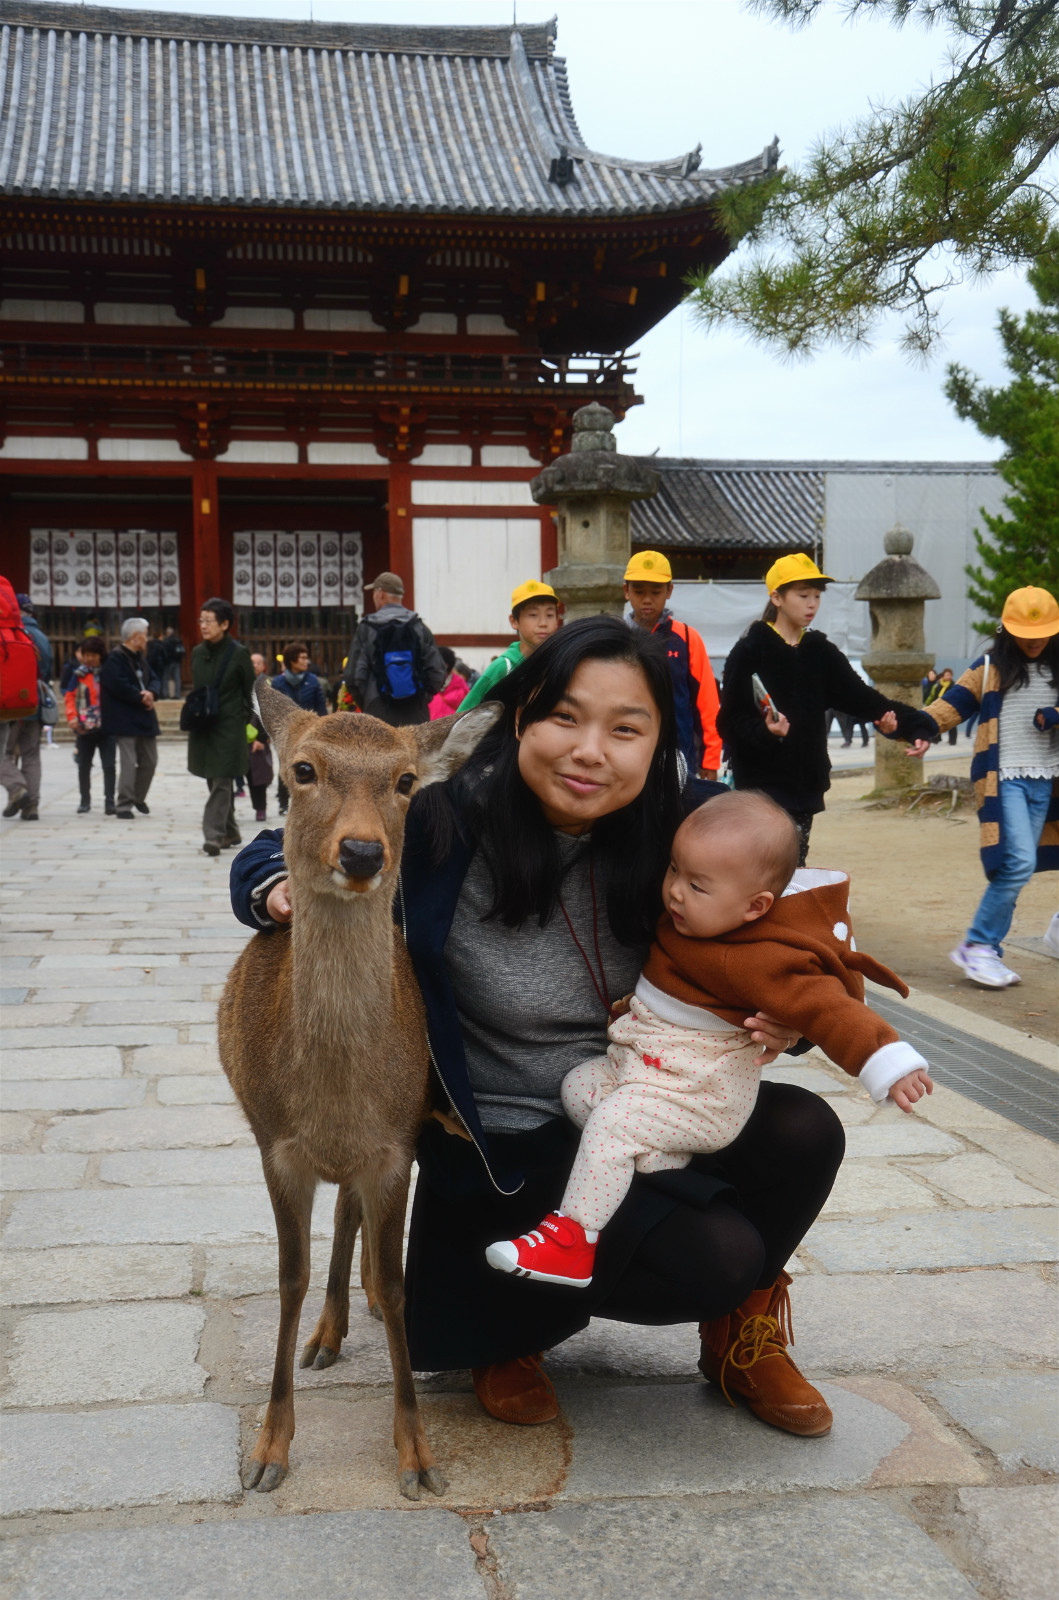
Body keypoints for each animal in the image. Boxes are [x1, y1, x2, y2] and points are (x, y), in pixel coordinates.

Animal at [219, 684, 502, 1497]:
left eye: (406, 782)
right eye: (302, 769)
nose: (362, 852)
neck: (335, 1102)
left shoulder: (393, 1147)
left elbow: (404, 1285)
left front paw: (418, 1457)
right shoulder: (276, 1147)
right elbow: (290, 1277)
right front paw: (268, 1451)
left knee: (352, 1219)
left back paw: (358, 1306)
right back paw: (327, 1333)